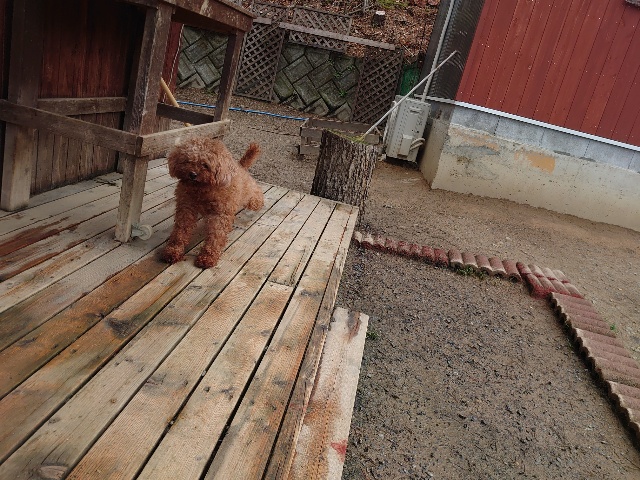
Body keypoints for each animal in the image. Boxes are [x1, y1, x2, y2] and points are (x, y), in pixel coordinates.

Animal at [161, 137, 264, 268]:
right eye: (187, 161)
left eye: (205, 165)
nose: (192, 174)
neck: (202, 189)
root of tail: (240, 166)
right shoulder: (186, 209)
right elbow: (180, 231)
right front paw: (173, 251)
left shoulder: (219, 214)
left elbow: (215, 237)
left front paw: (207, 257)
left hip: (249, 195)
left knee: (256, 193)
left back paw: (259, 201)